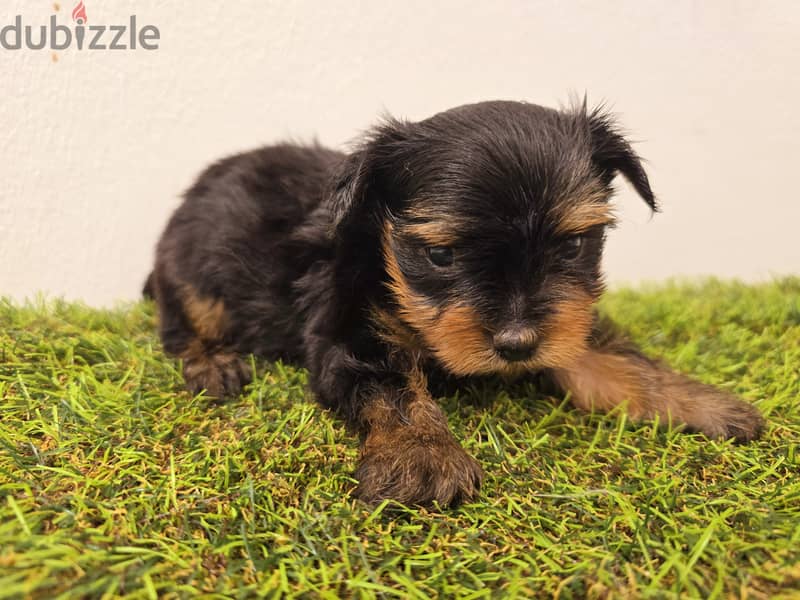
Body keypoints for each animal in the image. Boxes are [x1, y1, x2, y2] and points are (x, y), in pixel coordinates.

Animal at [147, 102, 764, 506]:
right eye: (440, 254)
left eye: (572, 245)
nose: (516, 345)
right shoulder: (349, 331)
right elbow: (393, 387)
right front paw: (423, 456)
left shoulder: (565, 319)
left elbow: (608, 358)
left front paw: (701, 402)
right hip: (192, 270)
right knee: (182, 321)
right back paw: (212, 363)